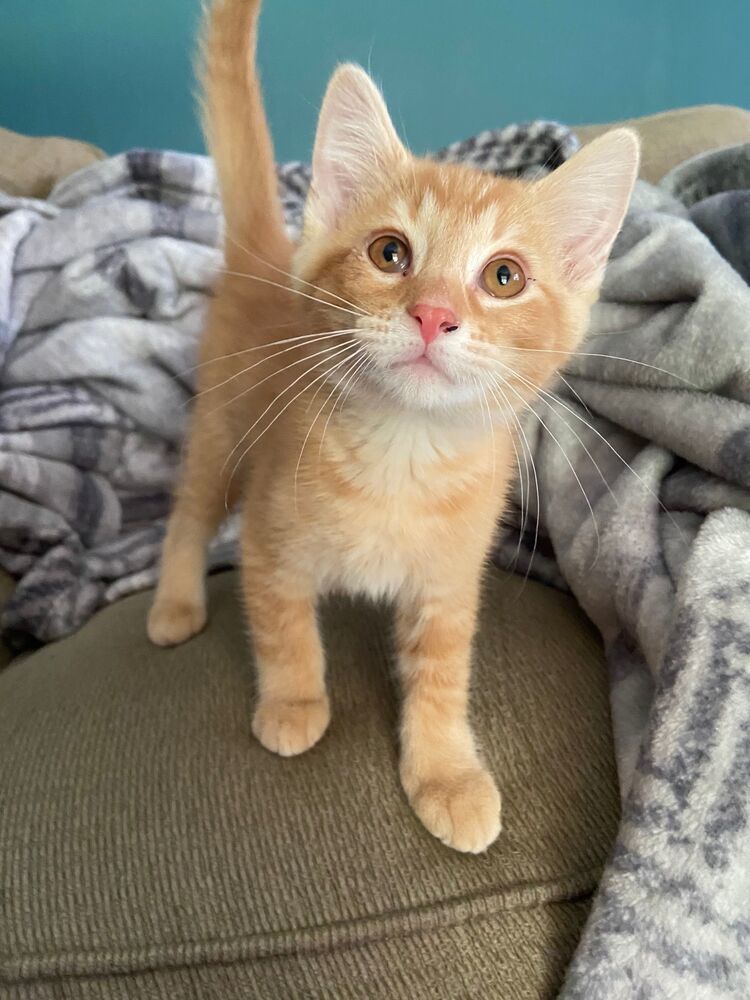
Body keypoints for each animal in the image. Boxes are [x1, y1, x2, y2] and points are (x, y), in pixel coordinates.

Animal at [148, 0, 640, 856]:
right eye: (389, 253)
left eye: (504, 277)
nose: (434, 313)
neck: (403, 455)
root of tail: (266, 256)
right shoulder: (270, 540)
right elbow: (283, 626)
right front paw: (294, 702)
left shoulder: (450, 581)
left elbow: (441, 677)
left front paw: (445, 773)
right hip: (224, 429)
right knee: (190, 510)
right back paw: (175, 603)